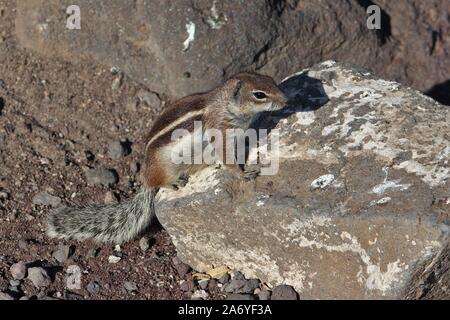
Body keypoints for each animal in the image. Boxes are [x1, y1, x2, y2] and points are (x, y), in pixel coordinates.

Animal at [46, 72, 288, 242]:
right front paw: (243, 172)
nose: (286, 101)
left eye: (272, 80)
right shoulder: (220, 132)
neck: (227, 105)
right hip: (165, 167)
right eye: (259, 94)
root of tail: (145, 175)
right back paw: (172, 183)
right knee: (157, 181)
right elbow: (227, 158)